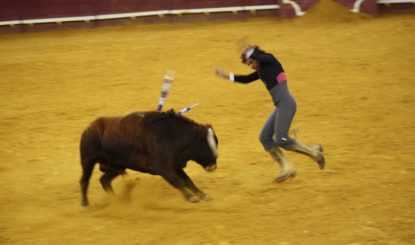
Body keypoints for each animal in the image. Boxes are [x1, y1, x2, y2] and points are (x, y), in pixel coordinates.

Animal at [79, 109, 219, 207]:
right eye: (205, 145)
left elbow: (188, 180)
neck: (173, 136)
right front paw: (191, 197)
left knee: (104, 180)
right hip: (88, 161)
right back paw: (85, 204)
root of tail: (88, 128)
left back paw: (117, 200)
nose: (213, 166)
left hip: (117, 165)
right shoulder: (163, 168)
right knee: (84, 181)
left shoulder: (175, 166)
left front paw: (202, 194)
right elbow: (176, 181)